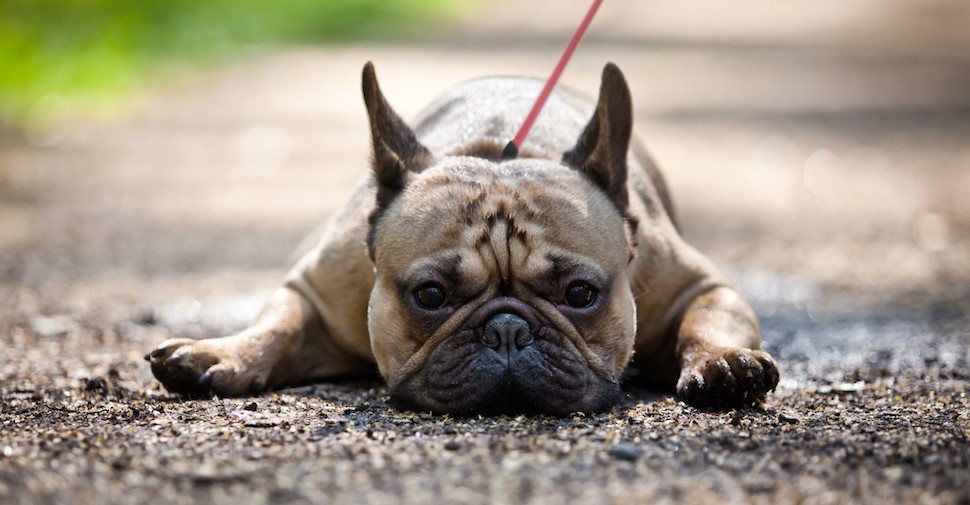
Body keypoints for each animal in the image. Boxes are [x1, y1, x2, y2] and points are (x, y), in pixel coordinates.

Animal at [146, 63, 780, 414]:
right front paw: (221, 351)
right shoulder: (315, 290)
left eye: (581, 294)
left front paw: (723, 364)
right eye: (429, 295)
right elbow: (277, 326)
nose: (507, 330)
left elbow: (706, 320)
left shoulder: (699, 284)